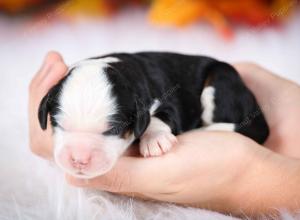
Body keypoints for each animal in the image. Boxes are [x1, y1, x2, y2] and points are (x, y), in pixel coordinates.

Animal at [37, 51, 270, 179]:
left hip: (220, 82)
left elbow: (159, 118)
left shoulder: (167, 101)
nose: (79, 160)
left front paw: (155, 140)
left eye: (113, 129)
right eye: (57, 124)